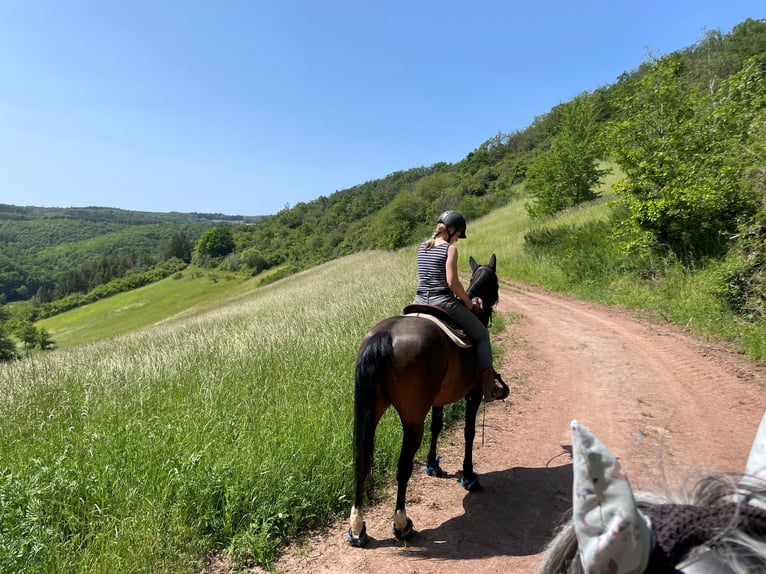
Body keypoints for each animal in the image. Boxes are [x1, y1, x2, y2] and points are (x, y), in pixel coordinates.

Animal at [346, 254, 504, 548]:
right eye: (497, 283)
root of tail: (384, 335)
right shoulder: (474, 394)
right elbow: (468, 433)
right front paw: (468, 475)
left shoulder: (438, 398)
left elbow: (437, 426)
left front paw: (433, 464)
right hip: (411, 420)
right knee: (403, 466)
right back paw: (401, 524)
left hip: (371, 412)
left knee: (361, 461)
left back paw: (357, 527)